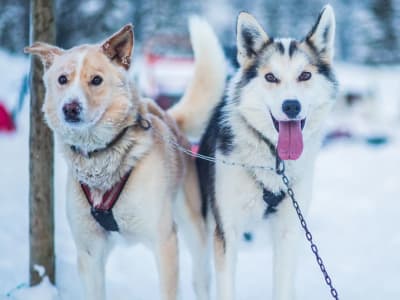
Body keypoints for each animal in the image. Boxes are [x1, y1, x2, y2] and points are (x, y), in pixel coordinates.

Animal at [24, 18, 225, 300]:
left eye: (96, 80)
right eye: (62, 79)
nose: (70, 108)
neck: (100, 157)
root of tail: (167, 116)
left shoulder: (164, 242)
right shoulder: (90, 252)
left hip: (193, 228)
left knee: (200, 279)